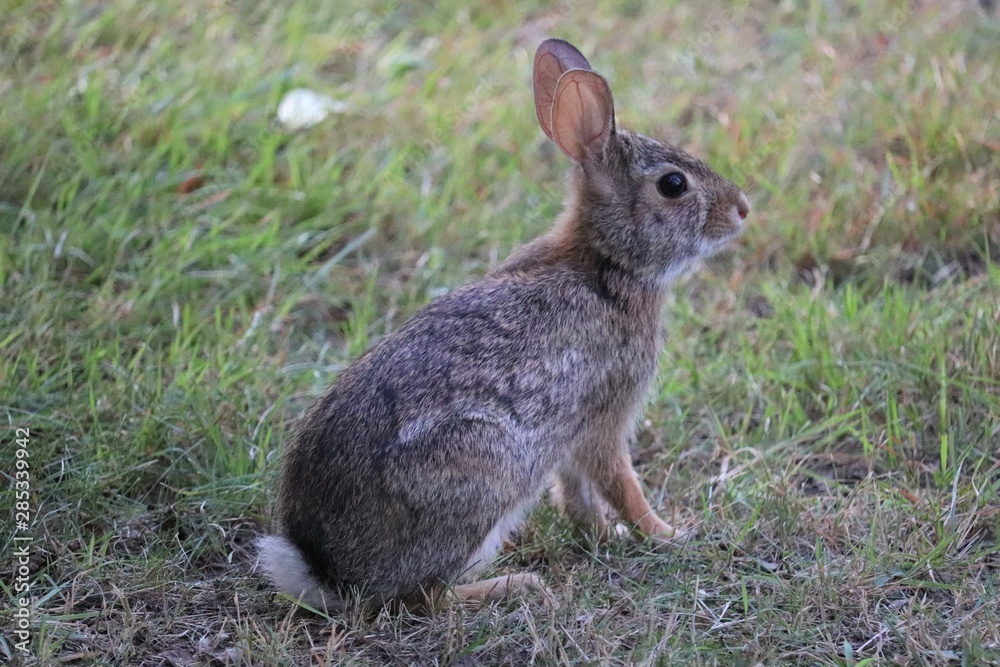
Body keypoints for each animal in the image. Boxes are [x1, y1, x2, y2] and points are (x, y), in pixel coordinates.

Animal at [257, 38, 751, 611]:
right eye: (673, 184)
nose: (742, 209)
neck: (605, 261)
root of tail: (327, 572)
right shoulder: (606, 411)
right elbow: (619, 482)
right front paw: (668, 534)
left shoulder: (571, 433)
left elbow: (577, 493)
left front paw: (605, 536)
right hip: (482, 470)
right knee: (424, 597)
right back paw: (514, 585)